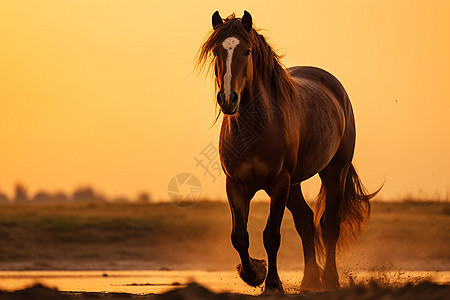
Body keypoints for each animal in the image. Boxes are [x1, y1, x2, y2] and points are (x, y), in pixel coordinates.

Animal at [197, 11, 380, 292]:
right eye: (217, 51)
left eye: (247, 51)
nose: (228, 99)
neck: (253, 129)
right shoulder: (236, 185)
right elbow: (239, 236)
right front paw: (254, 273)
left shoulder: (279, 183)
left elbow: (271, 235)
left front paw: (272, 283)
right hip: (294, 184)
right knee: (306, 222)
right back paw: (309, 281)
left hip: (333, 172)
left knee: (329, 226)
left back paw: (330, 280)